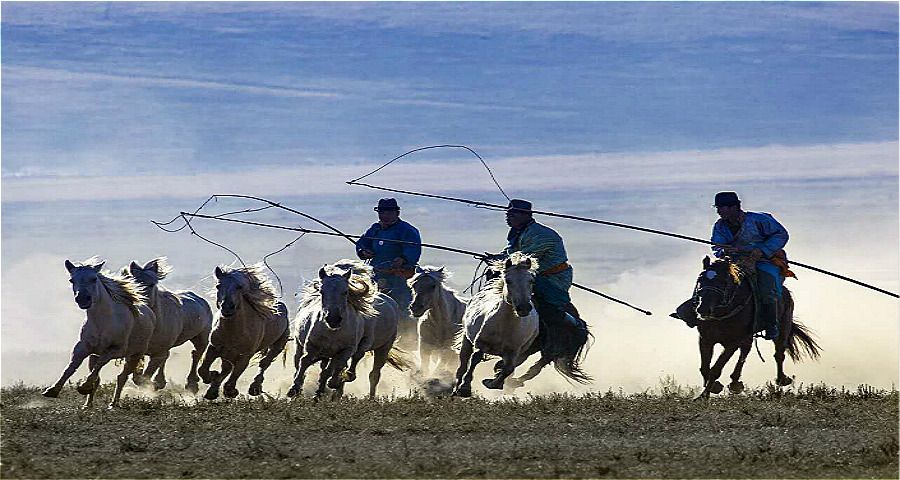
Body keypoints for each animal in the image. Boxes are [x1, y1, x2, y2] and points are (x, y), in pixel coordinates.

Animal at [42, 258, 156, 408]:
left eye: (93, 279)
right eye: (72, 280)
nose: (83, 299)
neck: (102, 322)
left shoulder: (115, 349)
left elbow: (100, 365)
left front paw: (83, 387)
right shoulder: (84, 348)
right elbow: (72, 367)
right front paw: (52, 390)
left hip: (134, 355)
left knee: (121, 377)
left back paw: (114, 404)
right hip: (95, 356)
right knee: (100, 377)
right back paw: (88, 405)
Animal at [125, 256, 214, 392]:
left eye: (151, 284)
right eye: (133, 283)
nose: (140, 302)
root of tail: (201, 299)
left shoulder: (158, 353)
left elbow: (144, 377)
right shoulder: (140, 352)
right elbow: (138, 377)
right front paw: (155, 384)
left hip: (201, 338)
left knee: (196, 354)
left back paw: (192, 385)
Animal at [199, 264, 290, 400]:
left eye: (239, 287)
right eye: (218, 286)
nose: (227, 308)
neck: (233, 332)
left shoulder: (245, 356)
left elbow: (234, 375)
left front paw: (230, 391)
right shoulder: (213, 347)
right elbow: (202, 369)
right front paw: (211, 377)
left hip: (278, 345)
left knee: (264, 363)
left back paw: (255, 388)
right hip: (227, 353)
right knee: (226, 368)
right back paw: (212, 390)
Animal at [454, 251, 536, 398]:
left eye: (531, 280)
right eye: (508, 280)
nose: (524, 308)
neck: (504, 325)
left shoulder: (513, 351)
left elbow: (508, 368)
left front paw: (492, 383)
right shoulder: (481, 343)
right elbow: (475, 359)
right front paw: (465, 388)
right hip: (466, 339)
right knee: (463, 363)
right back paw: (456, 388)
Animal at [692, 256, 820, 400]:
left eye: (721, 282)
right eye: (700, 280)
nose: (703, 309)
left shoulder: (732, 342)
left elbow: (716, 368)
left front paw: (704, 396)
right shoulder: (705, 339)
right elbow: (704, 367)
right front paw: (712, 388)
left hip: (782, 327)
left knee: (779, 353)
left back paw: (781, 379)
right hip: (748, 336)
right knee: (746, 350)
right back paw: (735, 382)